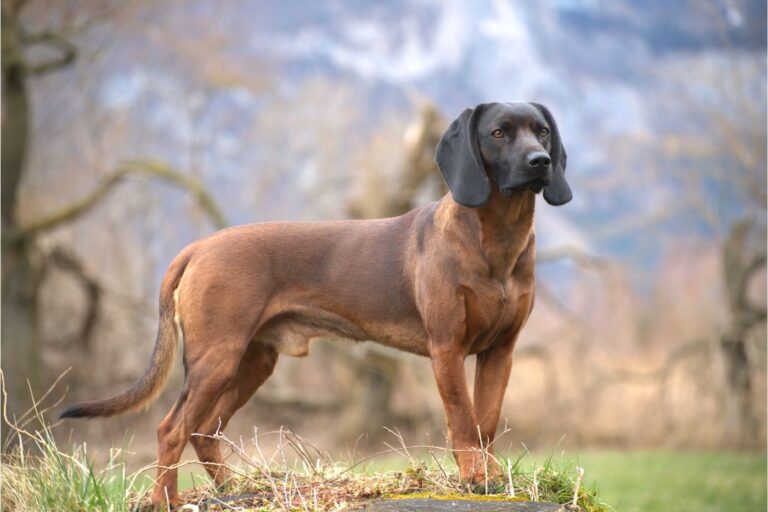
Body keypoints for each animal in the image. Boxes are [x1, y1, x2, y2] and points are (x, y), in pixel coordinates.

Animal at [61, 102, 568, 506]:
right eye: (498, 132)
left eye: (542, 131)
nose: (540, 161)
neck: (494, 240)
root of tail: (199, 246)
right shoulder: (447, 350)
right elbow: (464, 422)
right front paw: (472, 480)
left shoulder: (500, 352)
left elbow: (487, 423)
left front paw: (491, 480)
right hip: (216, 358)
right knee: (172, 429)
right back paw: (166, 500)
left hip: (252, 363)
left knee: (204, 430)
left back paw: (232, 490)